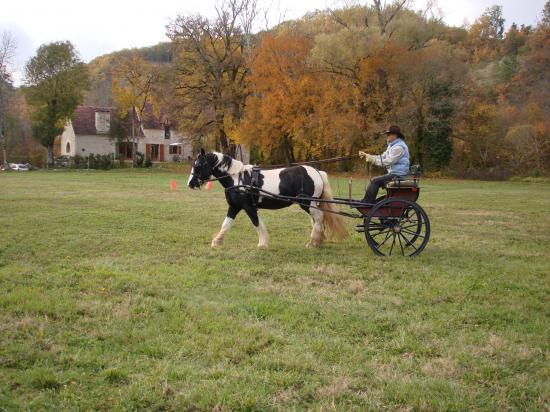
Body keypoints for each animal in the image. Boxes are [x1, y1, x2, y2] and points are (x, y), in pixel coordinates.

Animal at [188, 150, 348, 249]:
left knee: (319, 217)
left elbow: (257, 223)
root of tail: (317, 172)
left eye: (198, 165)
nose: (190, 184)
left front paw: (263, 244)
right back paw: (318, 240)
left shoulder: (248, 207)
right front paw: (217, 242)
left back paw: (313, 242)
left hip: (307, 204)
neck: (237, 178)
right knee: (317, 220)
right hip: (313, 204)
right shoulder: (234, 206)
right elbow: (226, 224)